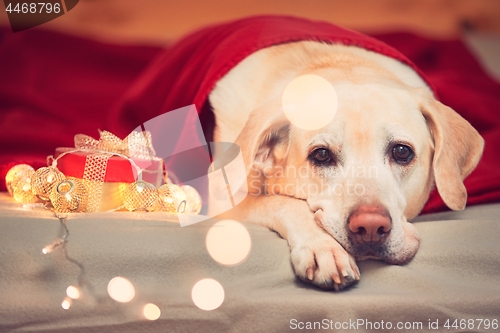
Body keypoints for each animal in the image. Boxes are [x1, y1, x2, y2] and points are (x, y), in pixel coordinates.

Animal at [208, 40, 484, 290]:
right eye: (321, 155)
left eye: (402, 151)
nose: (370, 227)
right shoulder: (222, 204)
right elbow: (284, 203)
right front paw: (323, 247)